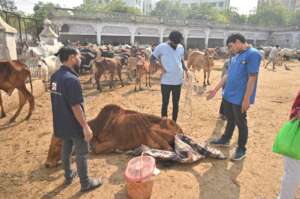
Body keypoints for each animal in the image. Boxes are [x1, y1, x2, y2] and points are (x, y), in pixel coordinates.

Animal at [45, 104, 182, 168]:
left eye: (58, 145)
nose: (47, 164)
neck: (98, 126)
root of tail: (180, 130)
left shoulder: (113, 142)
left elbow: (96, 149)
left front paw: (116, 150)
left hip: (152, 131)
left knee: (169, 150)